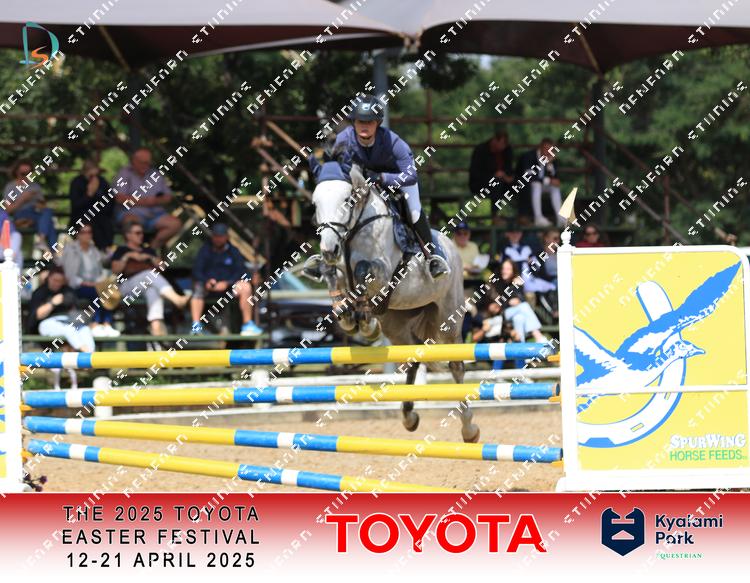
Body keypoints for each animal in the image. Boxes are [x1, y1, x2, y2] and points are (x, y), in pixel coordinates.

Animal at [305, 155, 480, 443]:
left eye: (347, 199)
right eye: (315, 203)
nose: (329, 249)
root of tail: (452, 248)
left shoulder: (384, 271)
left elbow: (364, 270)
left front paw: (364, 323)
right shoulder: (337, 268)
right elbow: (332, 275)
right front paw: (350, 318)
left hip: (448, 316)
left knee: (456, 365)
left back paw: (469, 429)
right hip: (396, 322)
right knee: (413, 355)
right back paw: (409, 416)